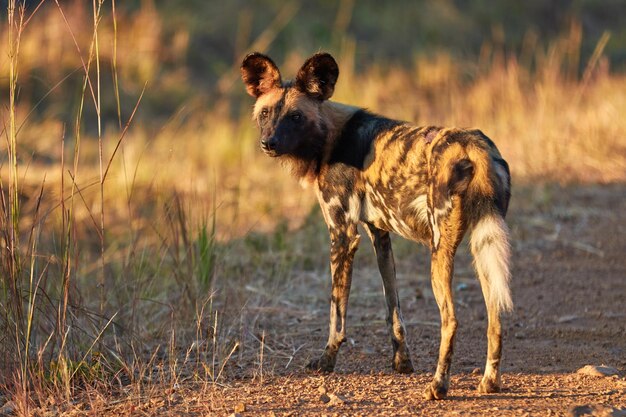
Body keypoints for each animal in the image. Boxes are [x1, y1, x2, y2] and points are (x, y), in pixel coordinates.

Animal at [241, 52, 510, 400]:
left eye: (296, 117)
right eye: (265, 113)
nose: (269, 143)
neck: (330, 138)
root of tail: (475, 147)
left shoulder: (342, 235)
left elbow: (336, 314)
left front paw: (326, 361)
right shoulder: (379, 235)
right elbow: (393, 308)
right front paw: (402, 362)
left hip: (440, 253)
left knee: (451, 320)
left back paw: (438, 385)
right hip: (482, 246)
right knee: (496, 314)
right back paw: (489, 382)